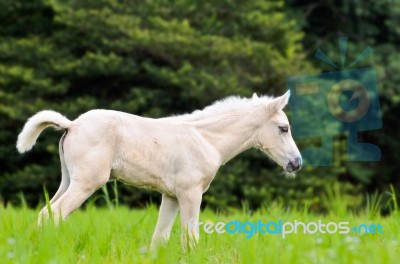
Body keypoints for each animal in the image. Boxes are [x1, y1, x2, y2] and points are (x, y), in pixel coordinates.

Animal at [17, 91, 302, 250]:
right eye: (284, 128)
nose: (297, 163)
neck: (206, 139)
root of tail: (72, 124)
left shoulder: (172, 196)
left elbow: (160, 238)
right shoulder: (190, 194)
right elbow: (191, 238)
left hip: (68, 180)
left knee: (45, 213)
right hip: (86, 182)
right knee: (53, 214)